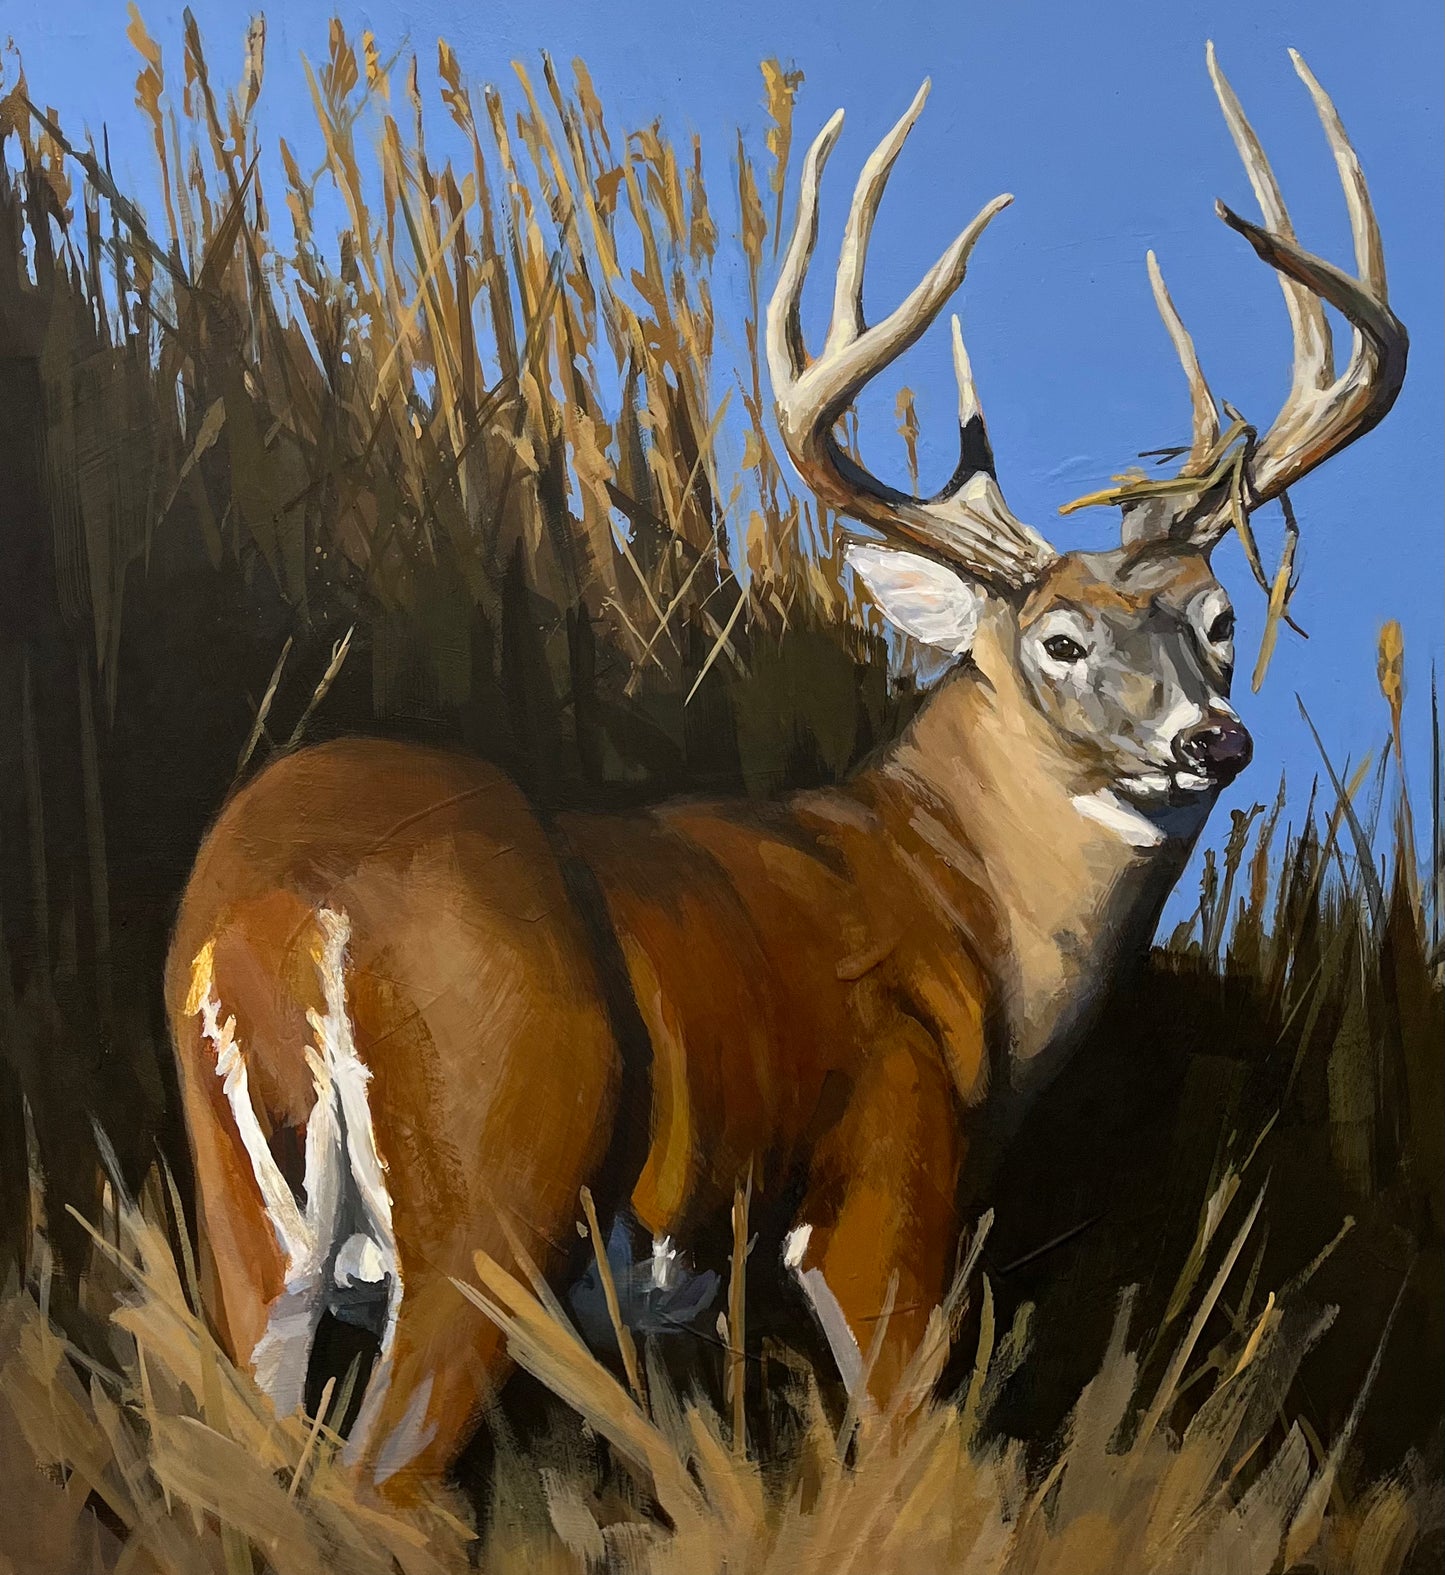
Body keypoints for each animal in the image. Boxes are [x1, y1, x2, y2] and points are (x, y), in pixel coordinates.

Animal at [164, 46, 1404, 1501]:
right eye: (1059, 638)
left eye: (1218, 619)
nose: (1216, 739)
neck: (950, 895)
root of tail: (291, 908)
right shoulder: (885, 1168)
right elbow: (912, 1443)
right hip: (489, 1190)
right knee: (378, 1483)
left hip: (244, 1225)